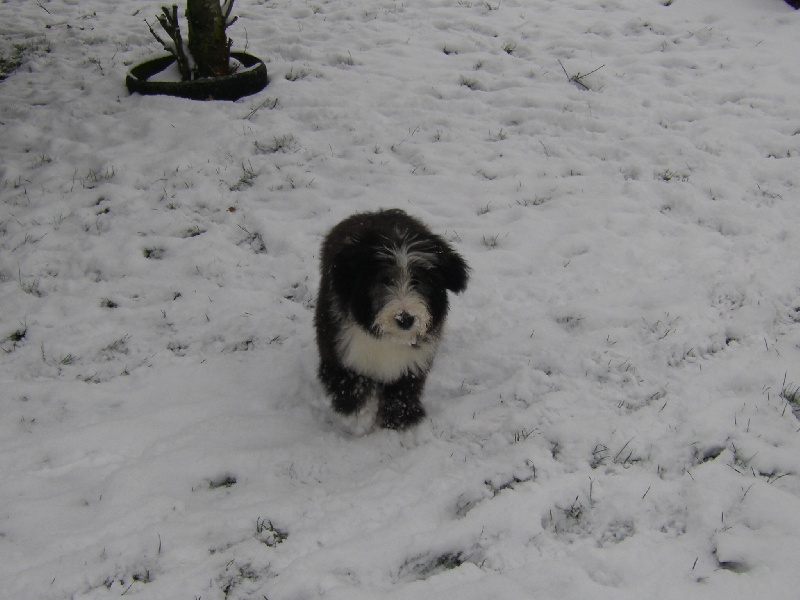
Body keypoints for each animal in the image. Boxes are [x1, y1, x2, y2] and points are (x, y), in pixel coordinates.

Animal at [314, 210, 468, 432]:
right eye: (384, 280)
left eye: (418, 280)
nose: (405, 319)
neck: (389, 338)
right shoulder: (340, 351)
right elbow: (348, 382)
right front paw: (360, 417)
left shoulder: (413, 362)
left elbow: (403, 390)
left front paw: (400, 418)